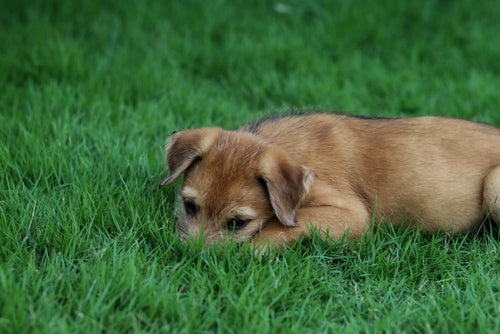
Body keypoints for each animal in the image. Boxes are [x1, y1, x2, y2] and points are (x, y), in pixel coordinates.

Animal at [159, 113, 500, 249]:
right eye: (189, 206)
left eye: (238, 223)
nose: (190, 257)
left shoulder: (352, 214)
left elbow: (283, 225)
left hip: (494, 186)